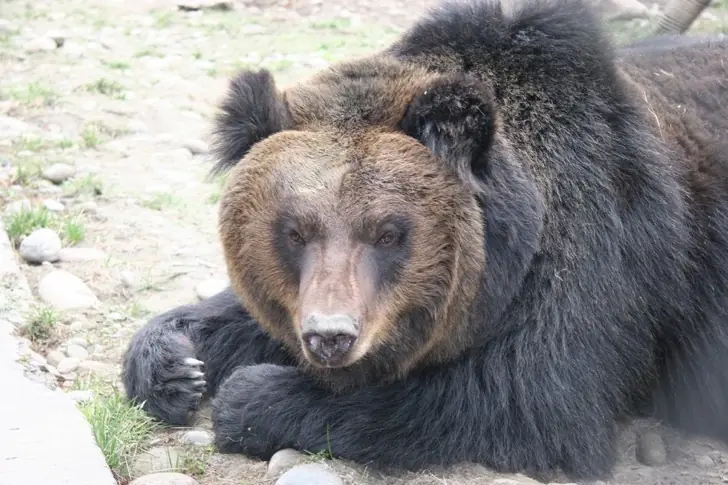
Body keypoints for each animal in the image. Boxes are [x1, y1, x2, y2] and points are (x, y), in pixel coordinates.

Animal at [121, 0, 728, 480]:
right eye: (295, 230)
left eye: (388, 232)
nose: (330, 336)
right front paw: (174, 365)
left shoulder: (599, 259)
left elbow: (526, 397)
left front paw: (251, 396)